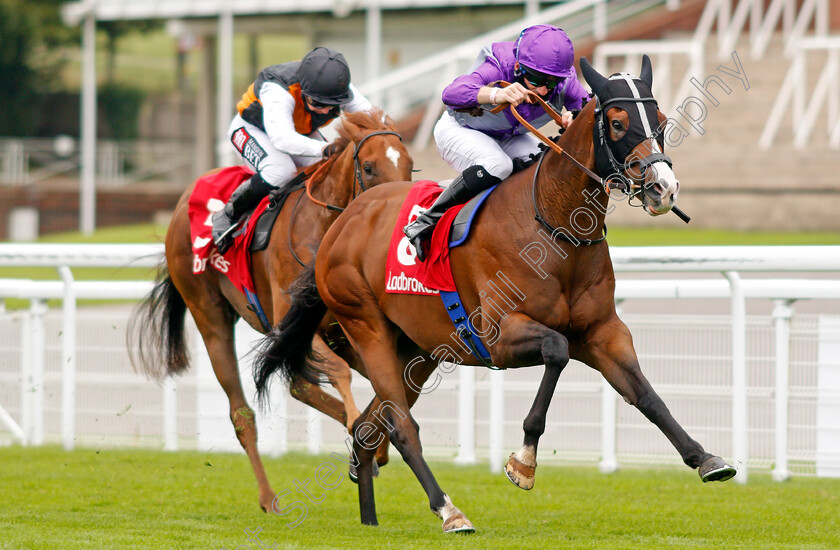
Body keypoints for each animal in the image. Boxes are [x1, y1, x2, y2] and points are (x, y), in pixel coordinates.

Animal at [128, 110, 414, 516]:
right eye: (370, 167)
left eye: (409, 165)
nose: (397, 214)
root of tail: (184, 201)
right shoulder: (292, 325)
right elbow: (341, 374)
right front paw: (361, 432)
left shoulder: (342, 329)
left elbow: (382, 382)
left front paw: (378, 444)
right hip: (210, 316)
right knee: (242, 413)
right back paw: (269, 498)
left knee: (300, 386)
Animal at [251, 57, 736, 536]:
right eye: (617, 123)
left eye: (661, 120)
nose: (663, 187)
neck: (553, 224)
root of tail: (343, 222)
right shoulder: (500, 337)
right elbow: (557, 351)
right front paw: (523, 461)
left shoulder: (603, 332)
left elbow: (647, 395)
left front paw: (706, 458)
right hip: (366, 327)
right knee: (401, 426)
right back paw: (449, 511)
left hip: (418, 349)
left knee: (370, 428)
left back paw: (369, 517)